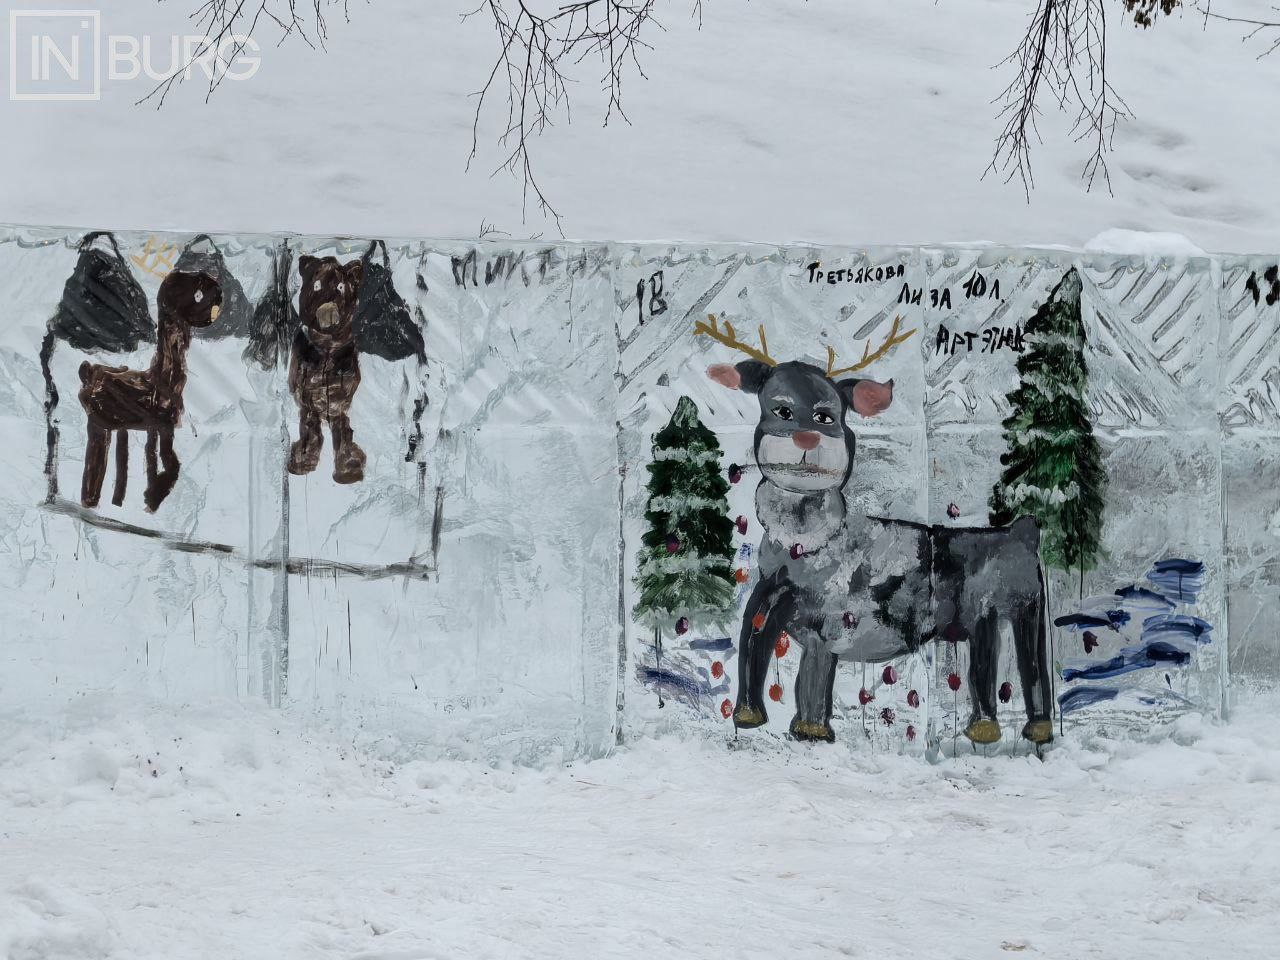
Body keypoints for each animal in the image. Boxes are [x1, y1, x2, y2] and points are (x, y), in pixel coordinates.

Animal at [289, 256, 366, 483]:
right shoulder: (307, 399)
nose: (328, 307)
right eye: (316, 286)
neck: (326, 346)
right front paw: (303, 460)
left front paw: (348, 468)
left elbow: (343, 432)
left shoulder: (339, 402)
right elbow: (309, 430)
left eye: (341, 287)